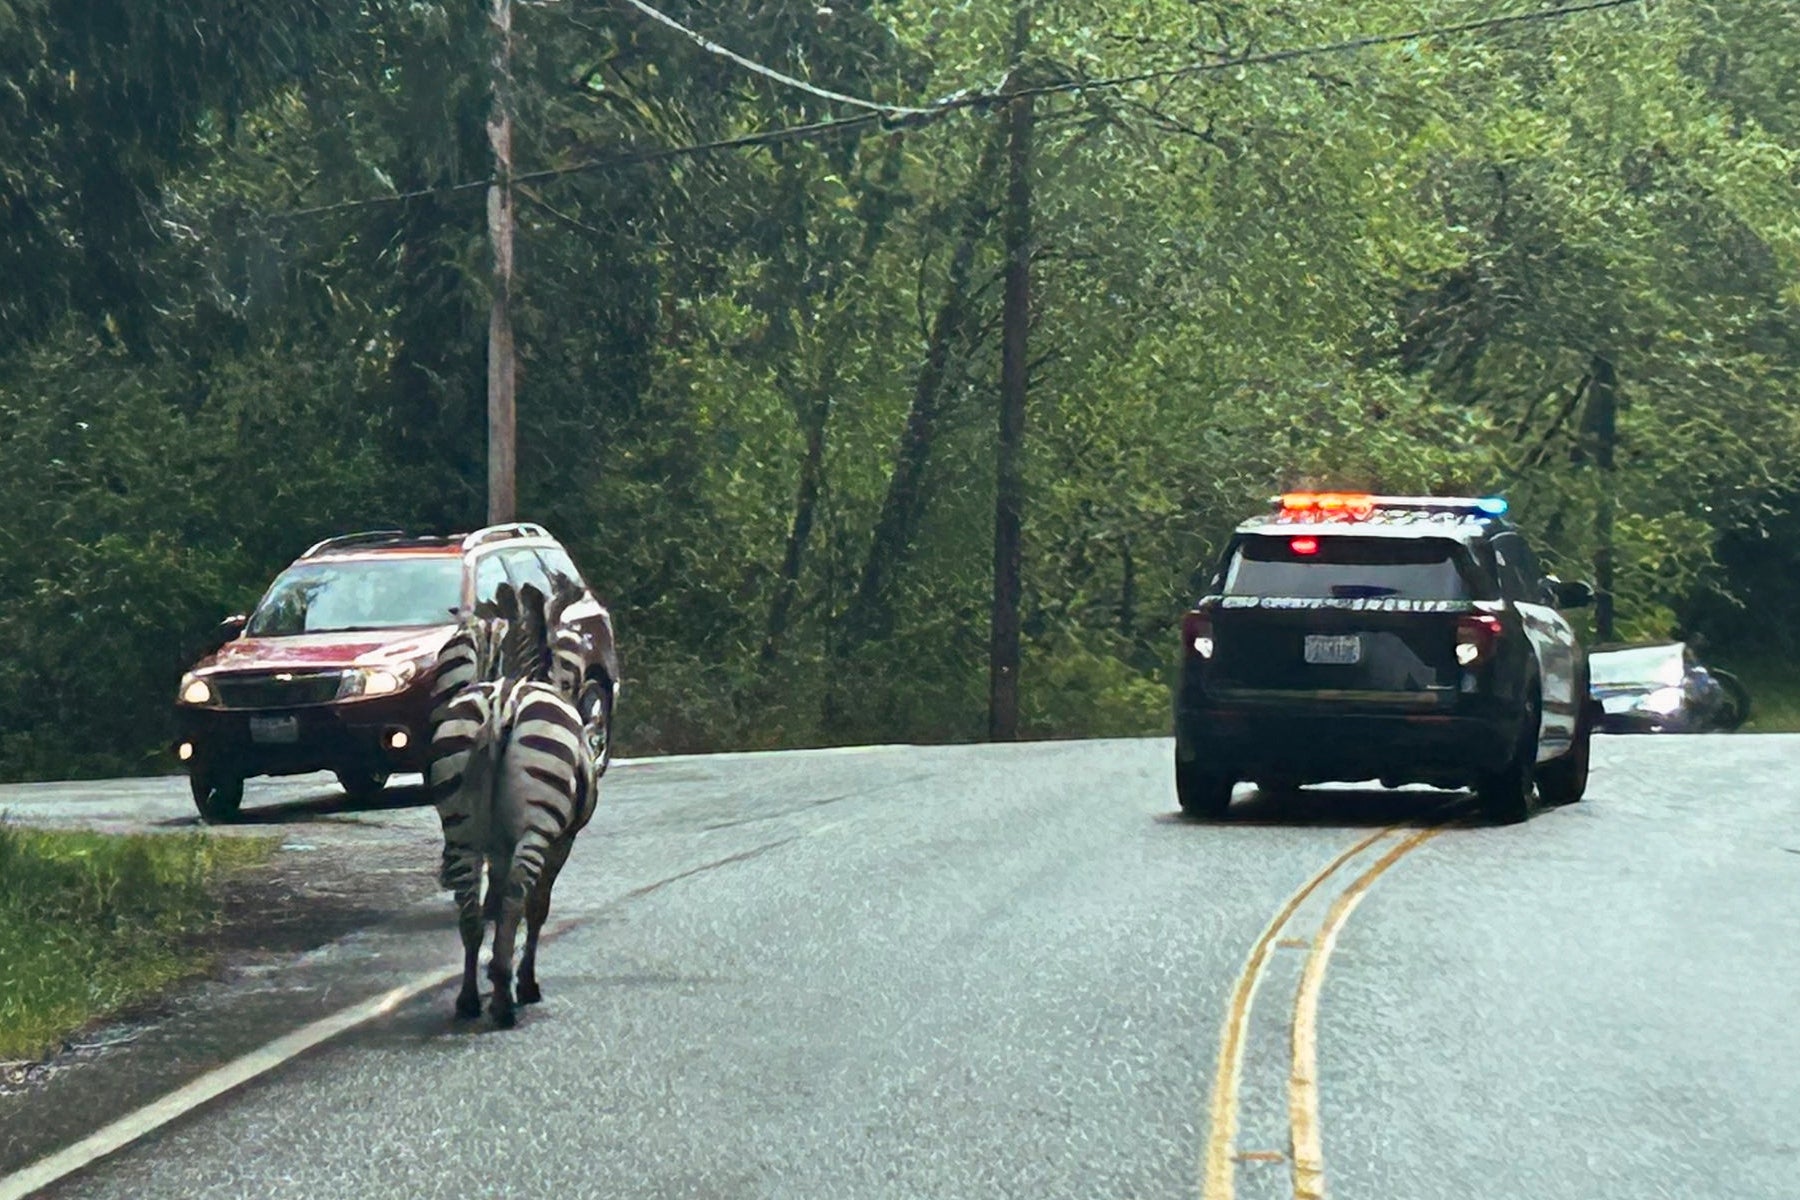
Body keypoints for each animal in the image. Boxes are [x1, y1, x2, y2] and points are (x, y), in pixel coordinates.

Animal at [424, 586, 601, 1029]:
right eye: (572, 651)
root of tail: (501, 704)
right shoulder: (562, 840)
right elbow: (537, 908)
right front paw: (527, 983)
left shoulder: (498, 843)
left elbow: (495, 895)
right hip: (539, 824)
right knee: (517, 900)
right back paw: (505, 1000)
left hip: (461, 826)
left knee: (470, 908)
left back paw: (470, 999)